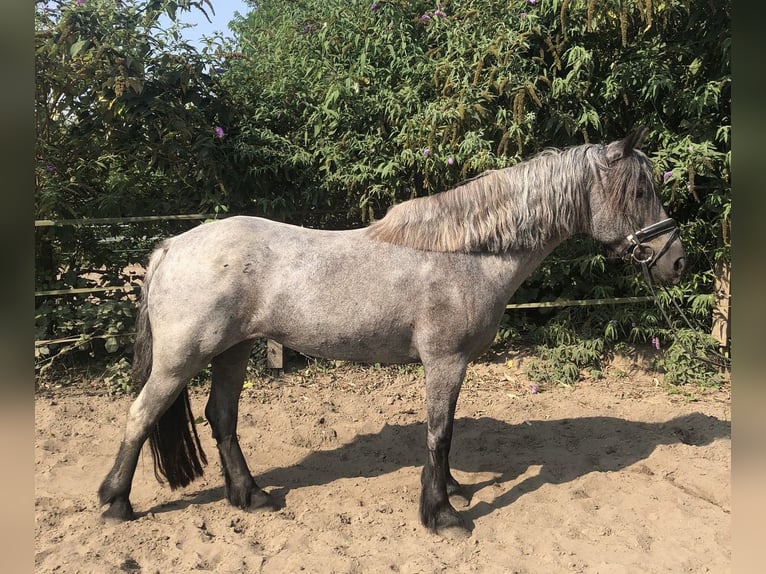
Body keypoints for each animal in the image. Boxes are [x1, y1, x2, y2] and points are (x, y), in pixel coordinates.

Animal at [99, 130, 688, 536]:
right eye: (640, 189)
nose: (677, 261)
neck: (468, 254)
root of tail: (171, 246)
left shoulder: (453, 366)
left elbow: (445, 434)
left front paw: (451, 490)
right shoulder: (445, 361)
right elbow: (438, 433)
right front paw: (442, 514)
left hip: (234, 352)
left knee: (221, 417)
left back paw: (252, 495)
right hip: (182, 358)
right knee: (140, 414)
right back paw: (116, 503)